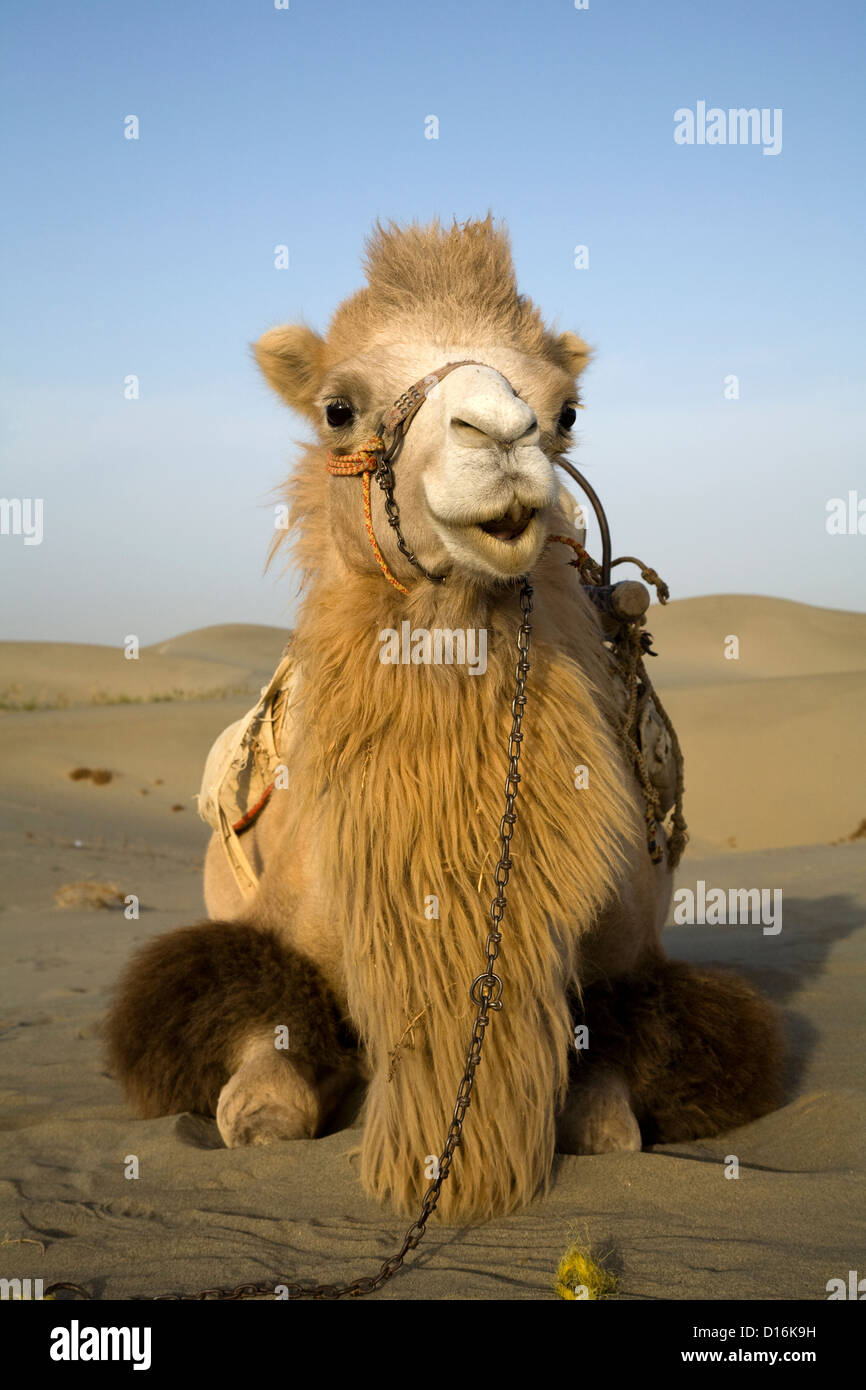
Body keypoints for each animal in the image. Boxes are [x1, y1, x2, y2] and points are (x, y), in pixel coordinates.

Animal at [104, 211, 783, 1223]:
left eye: (567, 410)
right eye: (338, 408)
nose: (498, 434)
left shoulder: (620, 968)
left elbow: (609, 1128)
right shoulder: (262, 952)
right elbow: (260, 1110)